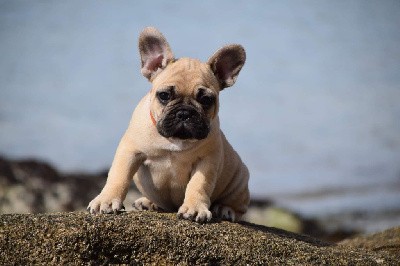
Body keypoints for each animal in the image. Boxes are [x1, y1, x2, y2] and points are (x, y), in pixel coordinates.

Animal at [89, 27, 248, 222]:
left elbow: (199, 185)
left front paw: (195, 208)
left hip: (240, 180)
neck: (174, 140)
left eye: (206, 100)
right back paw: (148, 202)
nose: (184, 113)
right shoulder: (130, 151)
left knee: (238, 206)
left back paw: (225, 209)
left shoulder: (207, 160)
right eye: (164, 95)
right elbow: (118, 176)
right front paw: (107, 199)